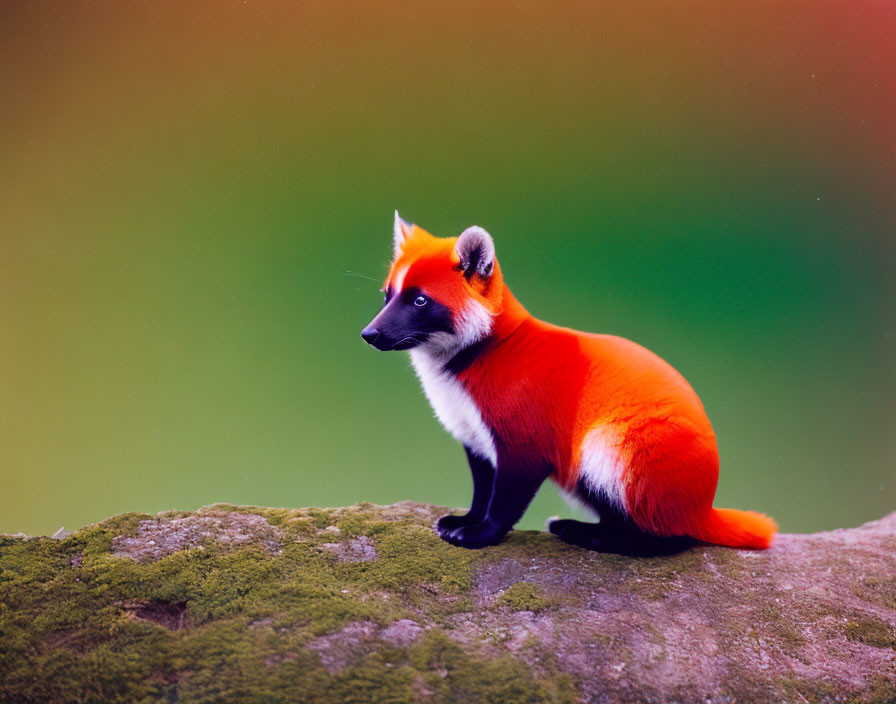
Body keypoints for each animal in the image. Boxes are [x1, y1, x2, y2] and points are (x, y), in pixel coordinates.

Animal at [358, 212, 776, 552]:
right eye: (387, 295)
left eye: (420, 301)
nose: (368, 334)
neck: (485, 356)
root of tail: (704, 508)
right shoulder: (475, 440)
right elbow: (481, 494)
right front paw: (465, 522)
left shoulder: (525, 444)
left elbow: (503, 504)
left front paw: (480, 536)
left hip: (608, 450)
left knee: (667, 540)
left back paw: (591, 537)